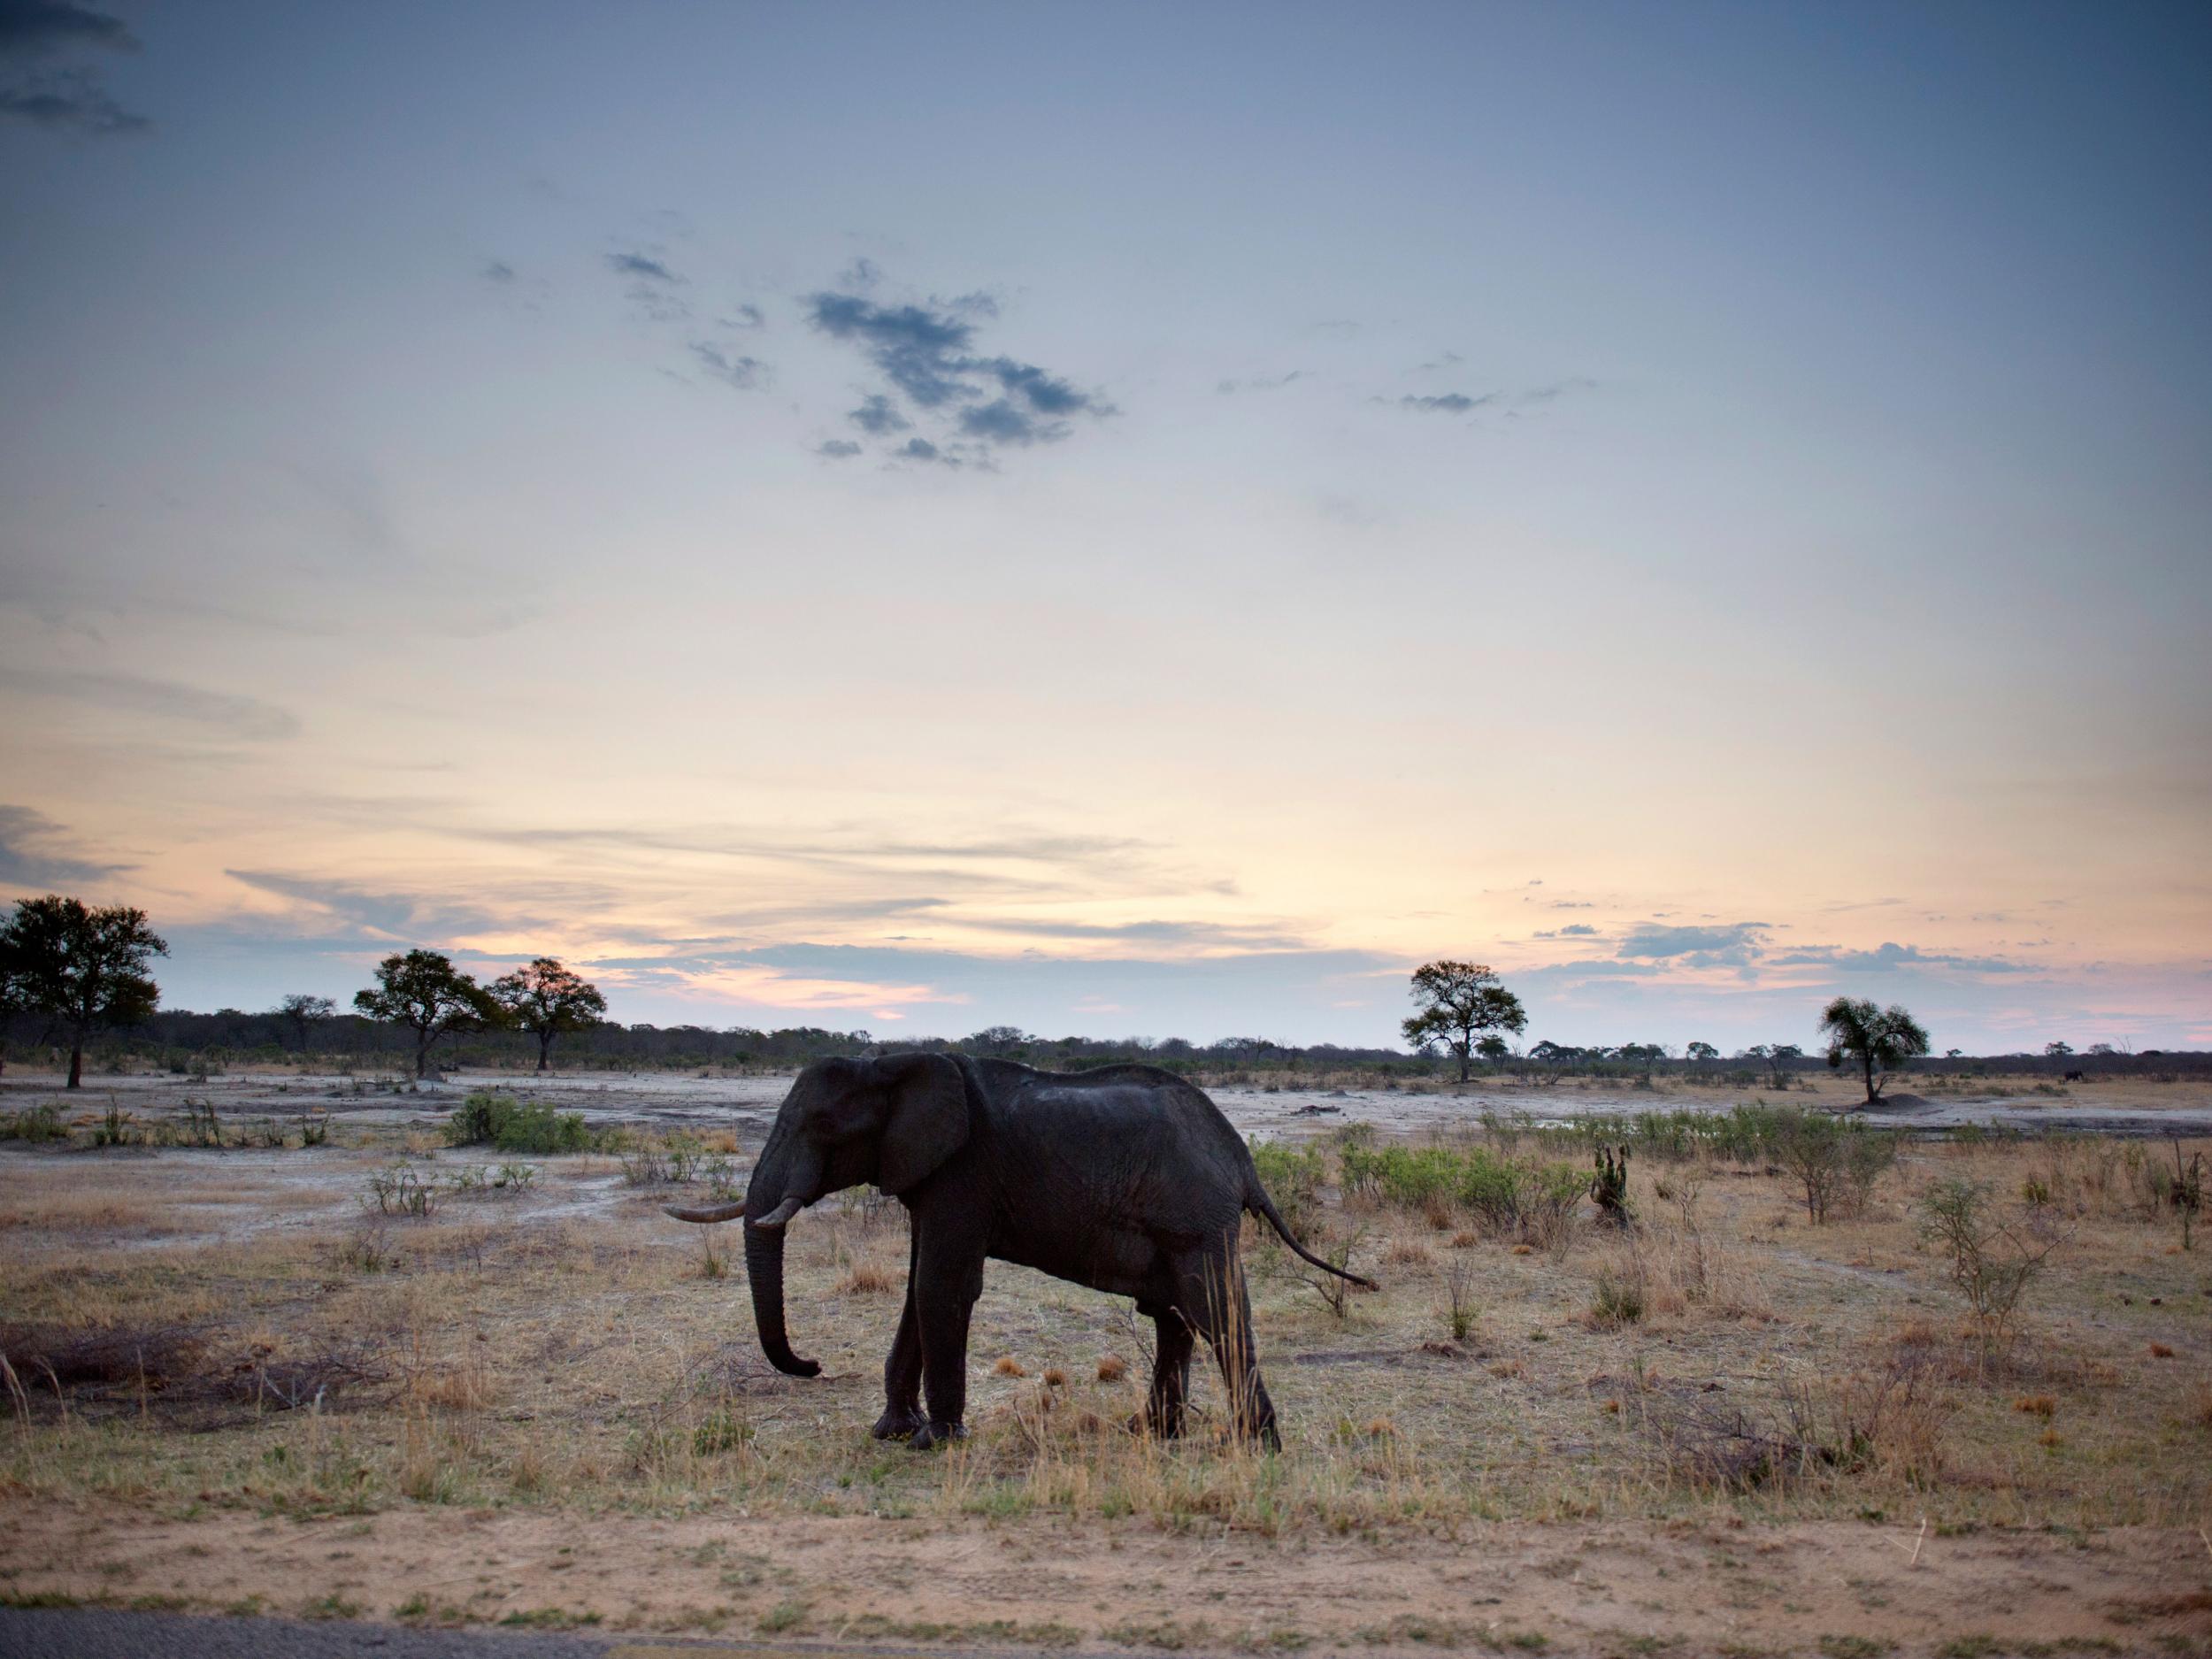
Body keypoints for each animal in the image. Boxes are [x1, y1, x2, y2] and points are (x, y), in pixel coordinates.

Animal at [664, 1057, 1371, 1451]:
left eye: (822, 1128)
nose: (812, 1364)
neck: (889, 1064)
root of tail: (1243, 1159)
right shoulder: (931, 1176)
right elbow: (918, 1287)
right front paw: (891, 1432)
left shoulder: (963, 1172)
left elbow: (942, 1285)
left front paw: (934, 1443)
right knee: (1174, 1318)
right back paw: (1149, 1435)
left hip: (1197, 1219)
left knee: (1216, 1312)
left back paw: (1258, 1447)